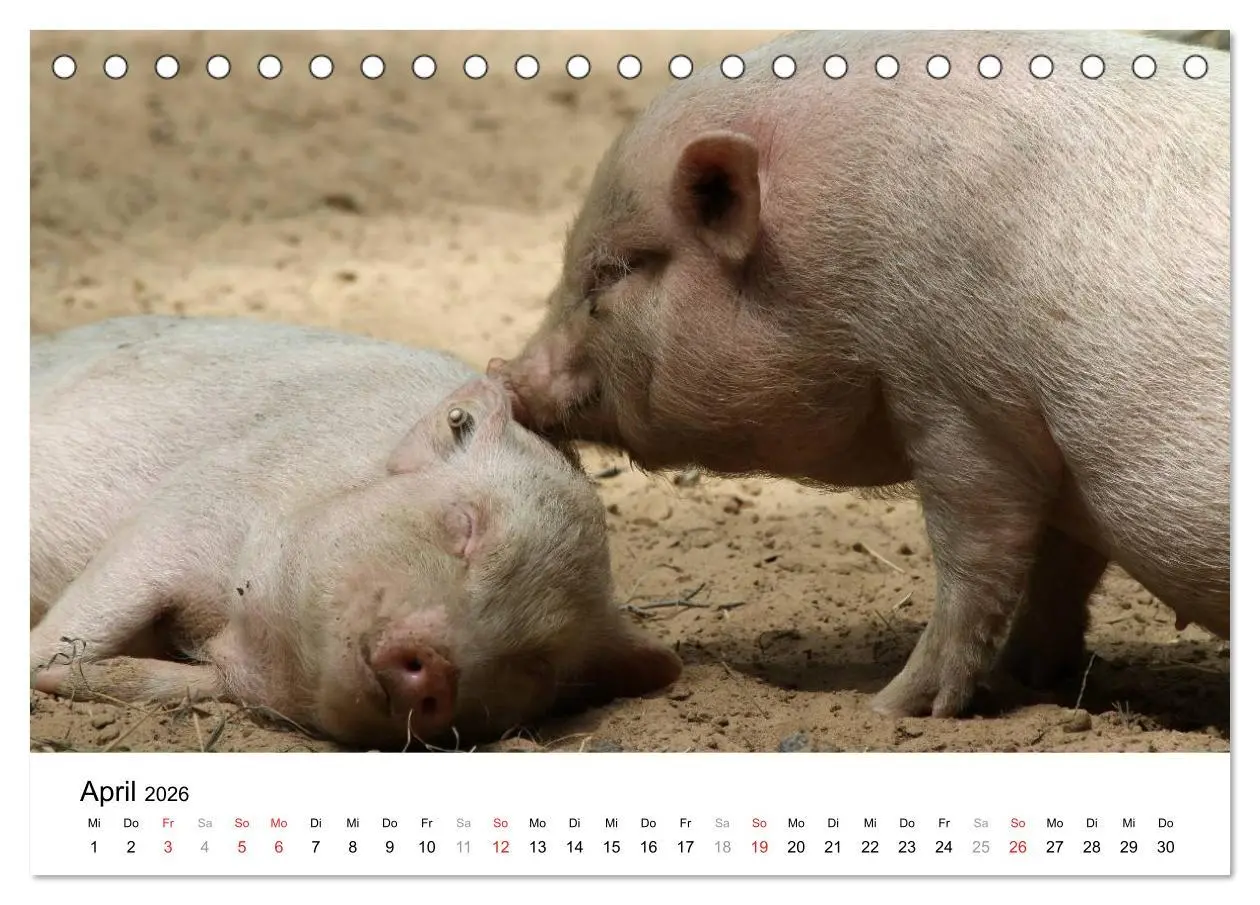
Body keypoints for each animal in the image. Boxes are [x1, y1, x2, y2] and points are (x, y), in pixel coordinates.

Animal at [30, 315, 681, 748]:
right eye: (464, 526)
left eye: (540, 664)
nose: (435, 665)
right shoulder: (193, 505)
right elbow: (90, 615)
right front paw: (45, 666)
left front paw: (64, 678)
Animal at [489, 31, 1230, 718]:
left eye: (616, 269)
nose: (504, 375)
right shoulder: (1055, 449)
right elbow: (1062, 568)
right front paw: (1031, 681)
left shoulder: (959, 395)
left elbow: (978, 560)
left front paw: (893, 708)